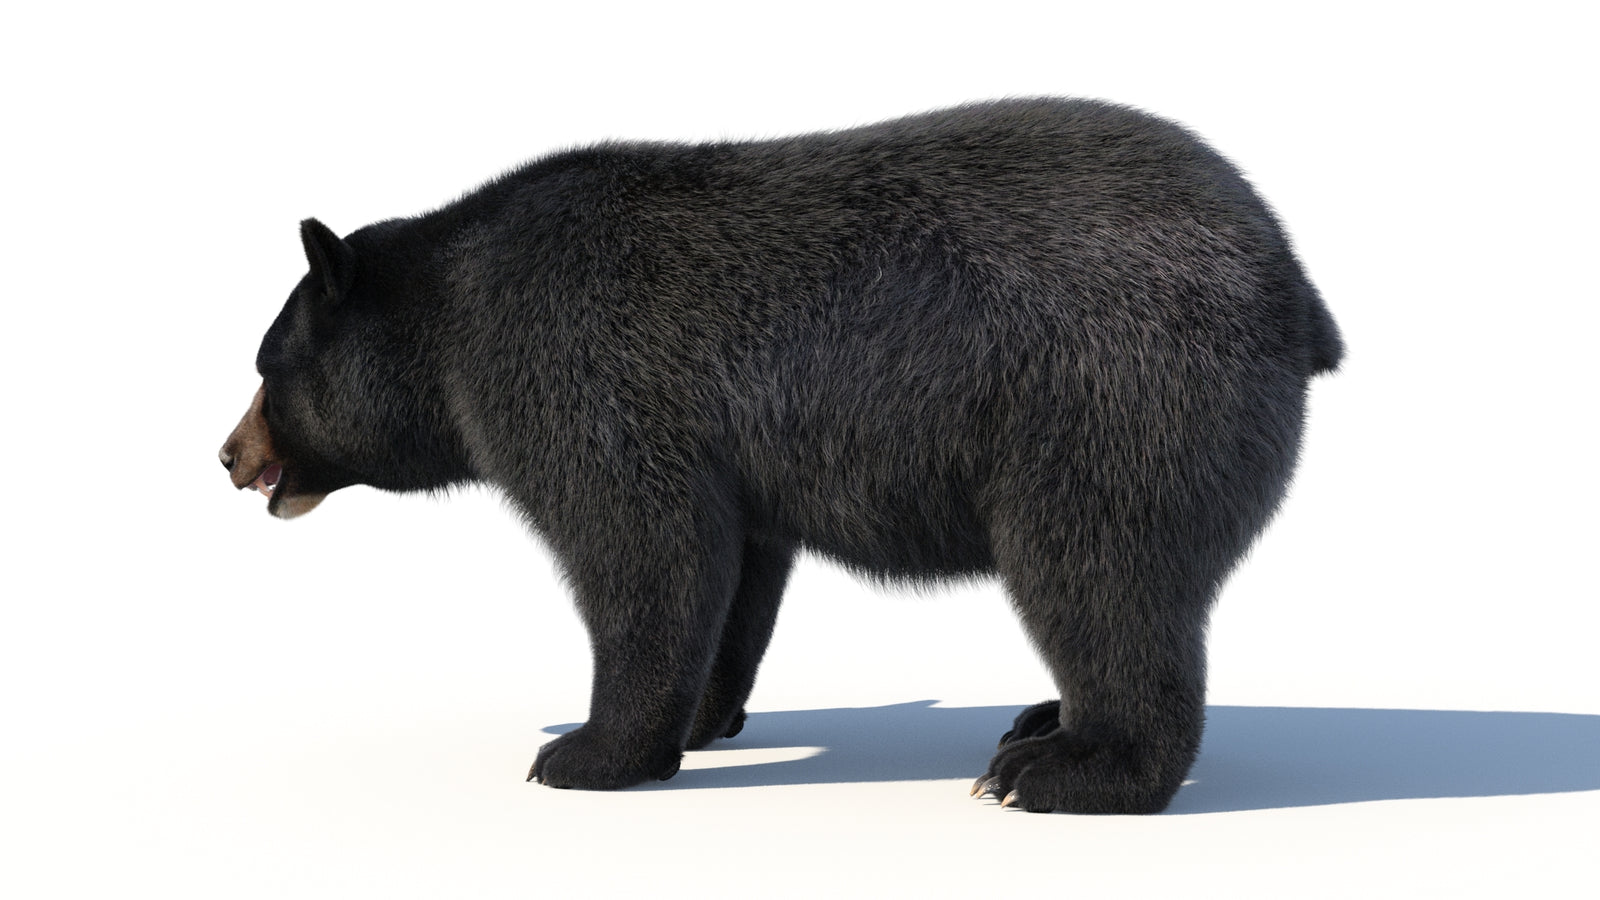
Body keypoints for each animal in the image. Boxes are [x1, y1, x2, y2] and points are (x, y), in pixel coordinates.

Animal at [220, 98, 1342, 814]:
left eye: (267, 364)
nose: (228, 456)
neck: (451, 316)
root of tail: (1295, 287)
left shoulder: (567, 364)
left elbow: (641, 544)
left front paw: (585, 752)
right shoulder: (726, 458)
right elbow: (736, 569)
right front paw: (700, 718)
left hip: (1113, 396)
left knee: (1100, 570)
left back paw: (1063, 770)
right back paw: (1034, 722)